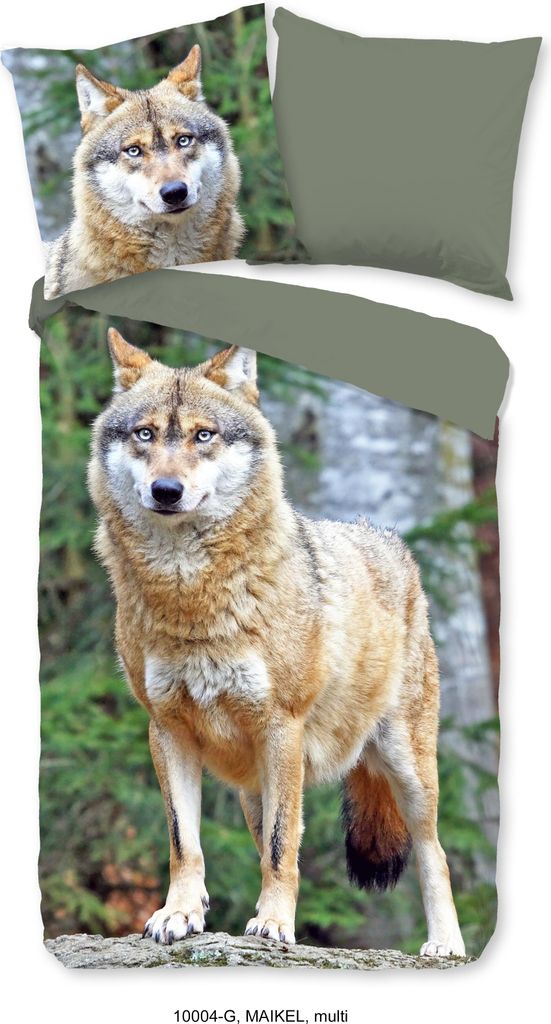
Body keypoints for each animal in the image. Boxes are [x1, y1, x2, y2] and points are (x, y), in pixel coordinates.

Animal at [88, 329, 465, 957]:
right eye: (145, 434)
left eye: (203, 435)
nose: (166, 490)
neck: (189, 595)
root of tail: (390, 540)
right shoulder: (165, 728)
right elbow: (184, 841)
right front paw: (180, 913)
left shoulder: (281, 726)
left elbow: (283, 846)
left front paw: (273, 925)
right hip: (249, 788)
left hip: (406, 768)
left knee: (434, 852)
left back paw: (445, 946)